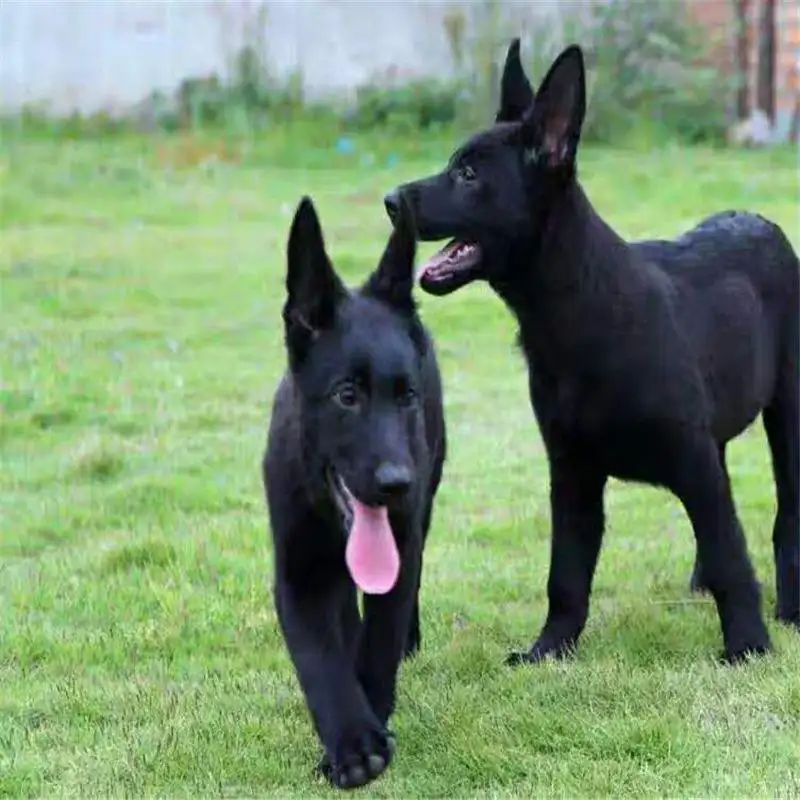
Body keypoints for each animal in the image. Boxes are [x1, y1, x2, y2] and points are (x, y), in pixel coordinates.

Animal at [266, 194, 446, 788]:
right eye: (347, 395)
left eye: (406, 395)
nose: (397, 484)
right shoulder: (296, 571)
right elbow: (320, 659)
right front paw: (350, 744)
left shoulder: (401, 542)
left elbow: (381, 641)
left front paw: (371, 722)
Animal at [384, 39, 796, 664]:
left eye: (469, 173)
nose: (389, 201)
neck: (580, 317)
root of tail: (764, 223)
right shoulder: (571, 469)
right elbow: (567, 573)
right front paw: (549, 649)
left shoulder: (691, 460)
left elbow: (730, 552)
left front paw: (747, 646)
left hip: (789, 414)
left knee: (782, 516)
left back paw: (790, 608)